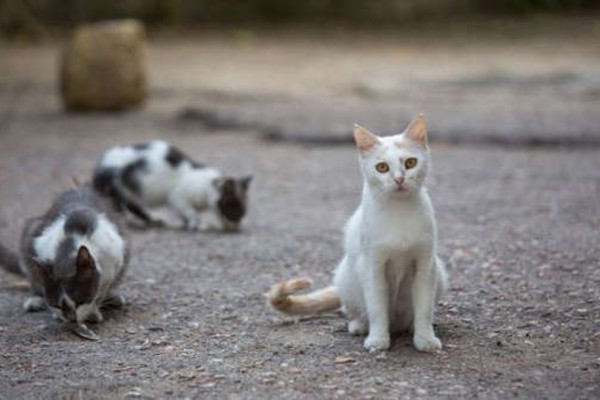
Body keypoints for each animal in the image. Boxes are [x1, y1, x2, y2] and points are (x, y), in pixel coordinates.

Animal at [0, 185, 130, 340]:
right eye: (57, 305)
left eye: (80, 301)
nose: (72, 319)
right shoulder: (39, 243)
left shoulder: (115, 253)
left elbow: (101, 290)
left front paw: (93, 311)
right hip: (31, 231)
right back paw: (35, 299)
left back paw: (113, 296)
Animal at [92, 140, 252, 231]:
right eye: (234, 208)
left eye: (243, 212)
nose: (236, 225)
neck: (207, 185)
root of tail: (101, 164)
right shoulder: (178, 196)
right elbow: (189, 211)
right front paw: (197, 224)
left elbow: (183, 213)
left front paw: (185, 223)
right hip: (120, 186)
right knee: (122, 204)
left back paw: (151, 220)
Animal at [270, 114, 448, 352]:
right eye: (382, 167)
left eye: (410, 163)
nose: (399, 179)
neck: (399, 211)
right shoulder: (372, 266)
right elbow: (377, 307)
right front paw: (378, 340)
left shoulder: (425, 265)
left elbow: (424, 308)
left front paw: (425, 339)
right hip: (346, 276)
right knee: (355, 310)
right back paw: (360, 325)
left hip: (440, 274)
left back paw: (410, 327)